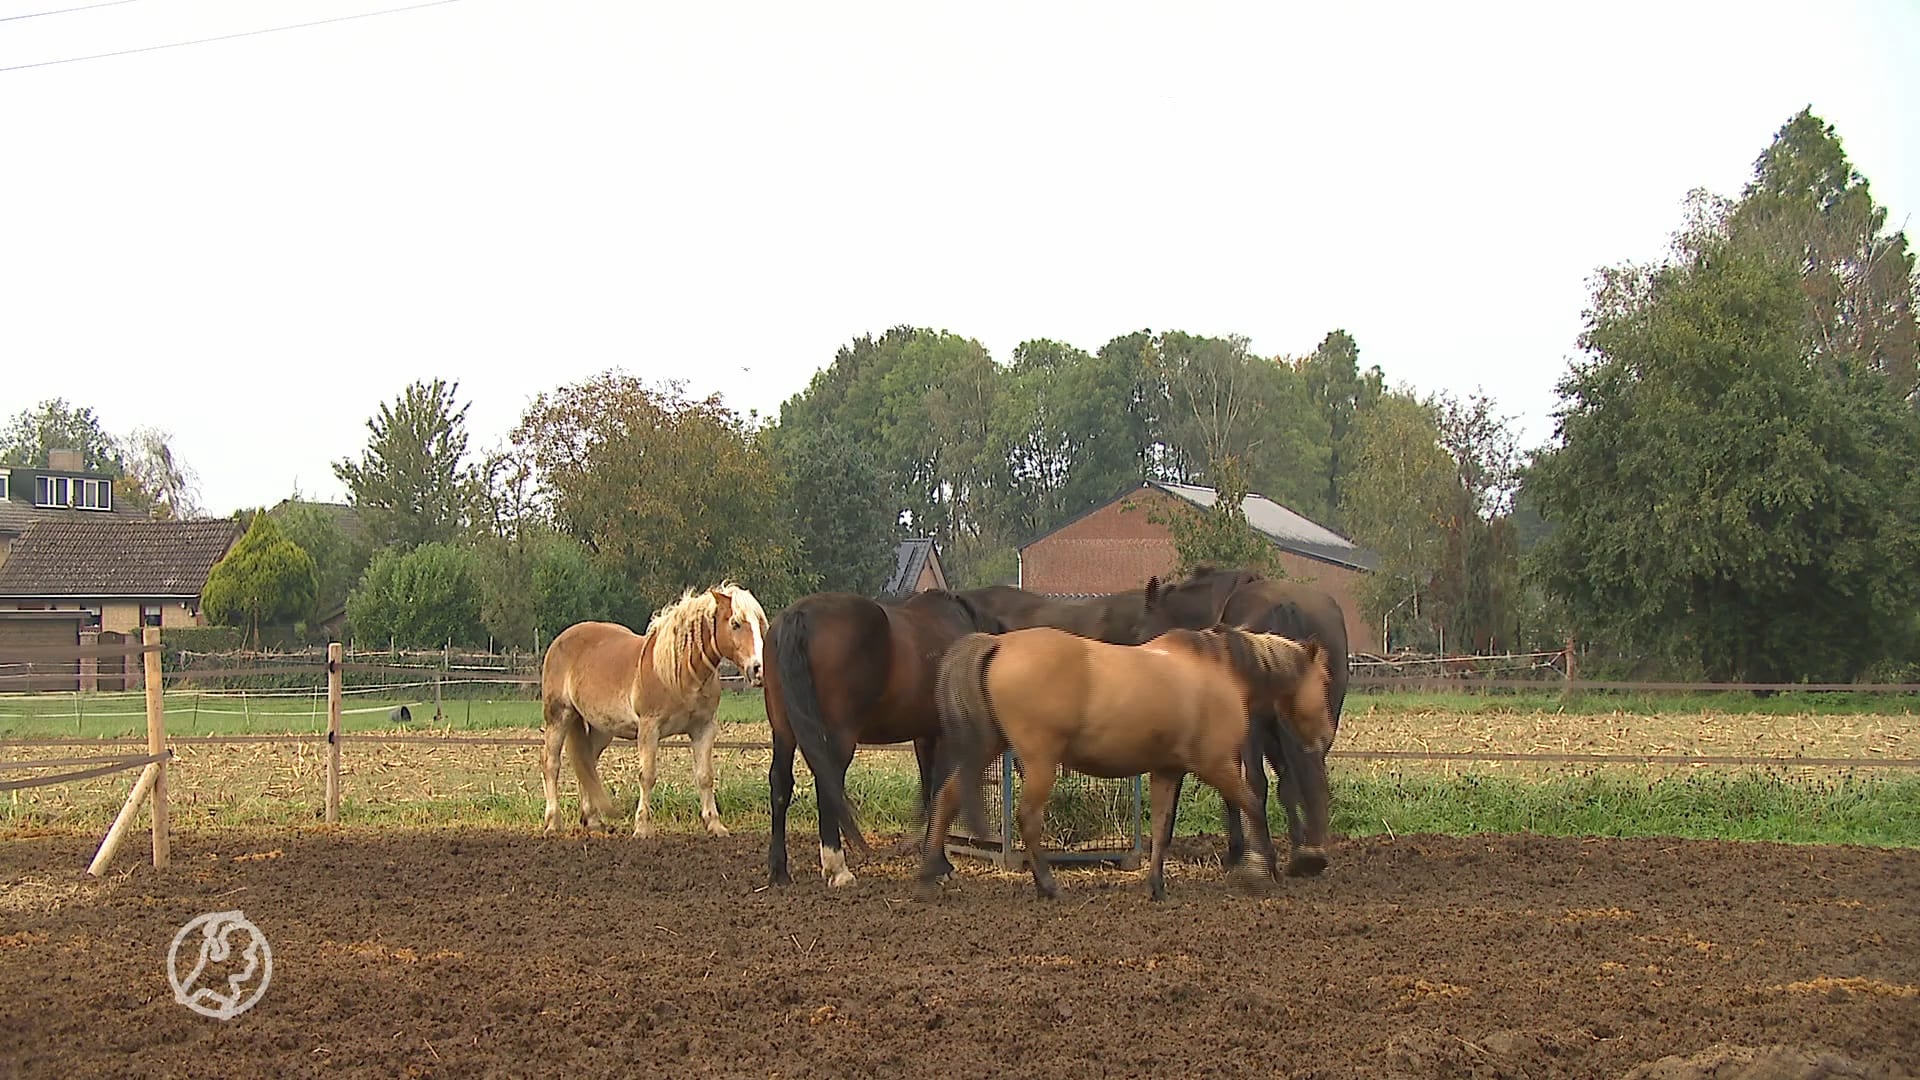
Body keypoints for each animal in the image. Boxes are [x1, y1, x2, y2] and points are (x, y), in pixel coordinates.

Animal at [537, 582, 769, 838]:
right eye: (735, 623)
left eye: (761, 623)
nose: (758, 669)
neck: (679, 672)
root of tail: (559, 641)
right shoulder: (649, 728)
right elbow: (647, 776)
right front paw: (642, 828)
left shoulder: (704, 728)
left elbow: (705, 776)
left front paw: (715, 825)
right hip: (558, 716)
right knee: (551, 764)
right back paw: (552, 823)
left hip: (601, 728)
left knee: (587, 764)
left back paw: (594, 821)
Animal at [764, 588, 1005, 888]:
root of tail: (799, 615)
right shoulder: (944, 736)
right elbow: (940, 792)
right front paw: (939, 865)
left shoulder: (925, 736)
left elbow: (929, 792)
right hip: (839, 735)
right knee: (827, 784)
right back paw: (838, 869)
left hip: (784, 730)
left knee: (781, 785)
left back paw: (779, 871)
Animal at [911, 624, 1335, 902]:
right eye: (1325, 682)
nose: (1323, 737)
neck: (1218, 671)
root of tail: (999, 643)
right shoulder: (1217, 766)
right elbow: (1253, 807)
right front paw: (1265, 871)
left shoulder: (1167, 771)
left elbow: (1162, 828)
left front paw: (1156, 886)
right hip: (1039, 761)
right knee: (1028, 818)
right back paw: (1047, 886)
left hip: (988, 747)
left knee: (948, 798)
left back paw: (930, 874)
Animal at [1140, 565, 1350, 877]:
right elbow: (1288, 785)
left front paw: (1238, 851)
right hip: (1320, 723)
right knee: (1309, 776)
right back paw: (1308, 855)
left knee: (1258, 784)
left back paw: (1263, 858)